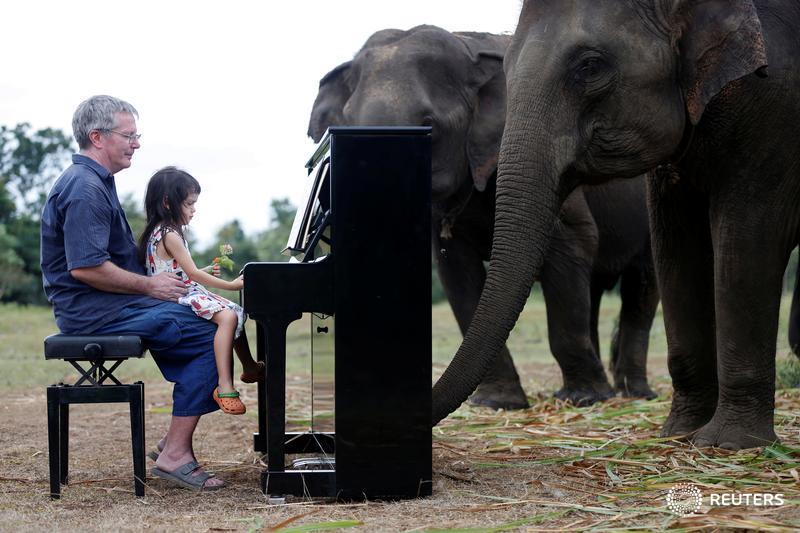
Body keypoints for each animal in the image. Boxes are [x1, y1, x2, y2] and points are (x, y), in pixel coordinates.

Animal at [308, 24, 660, 408]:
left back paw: (634, 394)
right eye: (344, 127)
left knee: (642, 285)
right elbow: (456, 270)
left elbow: (574, 242)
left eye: (428, 125)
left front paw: (584, 399)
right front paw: (498, 403)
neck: (468, 46)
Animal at [432, 0, 800, 450]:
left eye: (590, 67)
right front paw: (680, 434)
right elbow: (676, 246)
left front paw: (726, 444)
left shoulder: (776, 110)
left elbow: (746, 238)